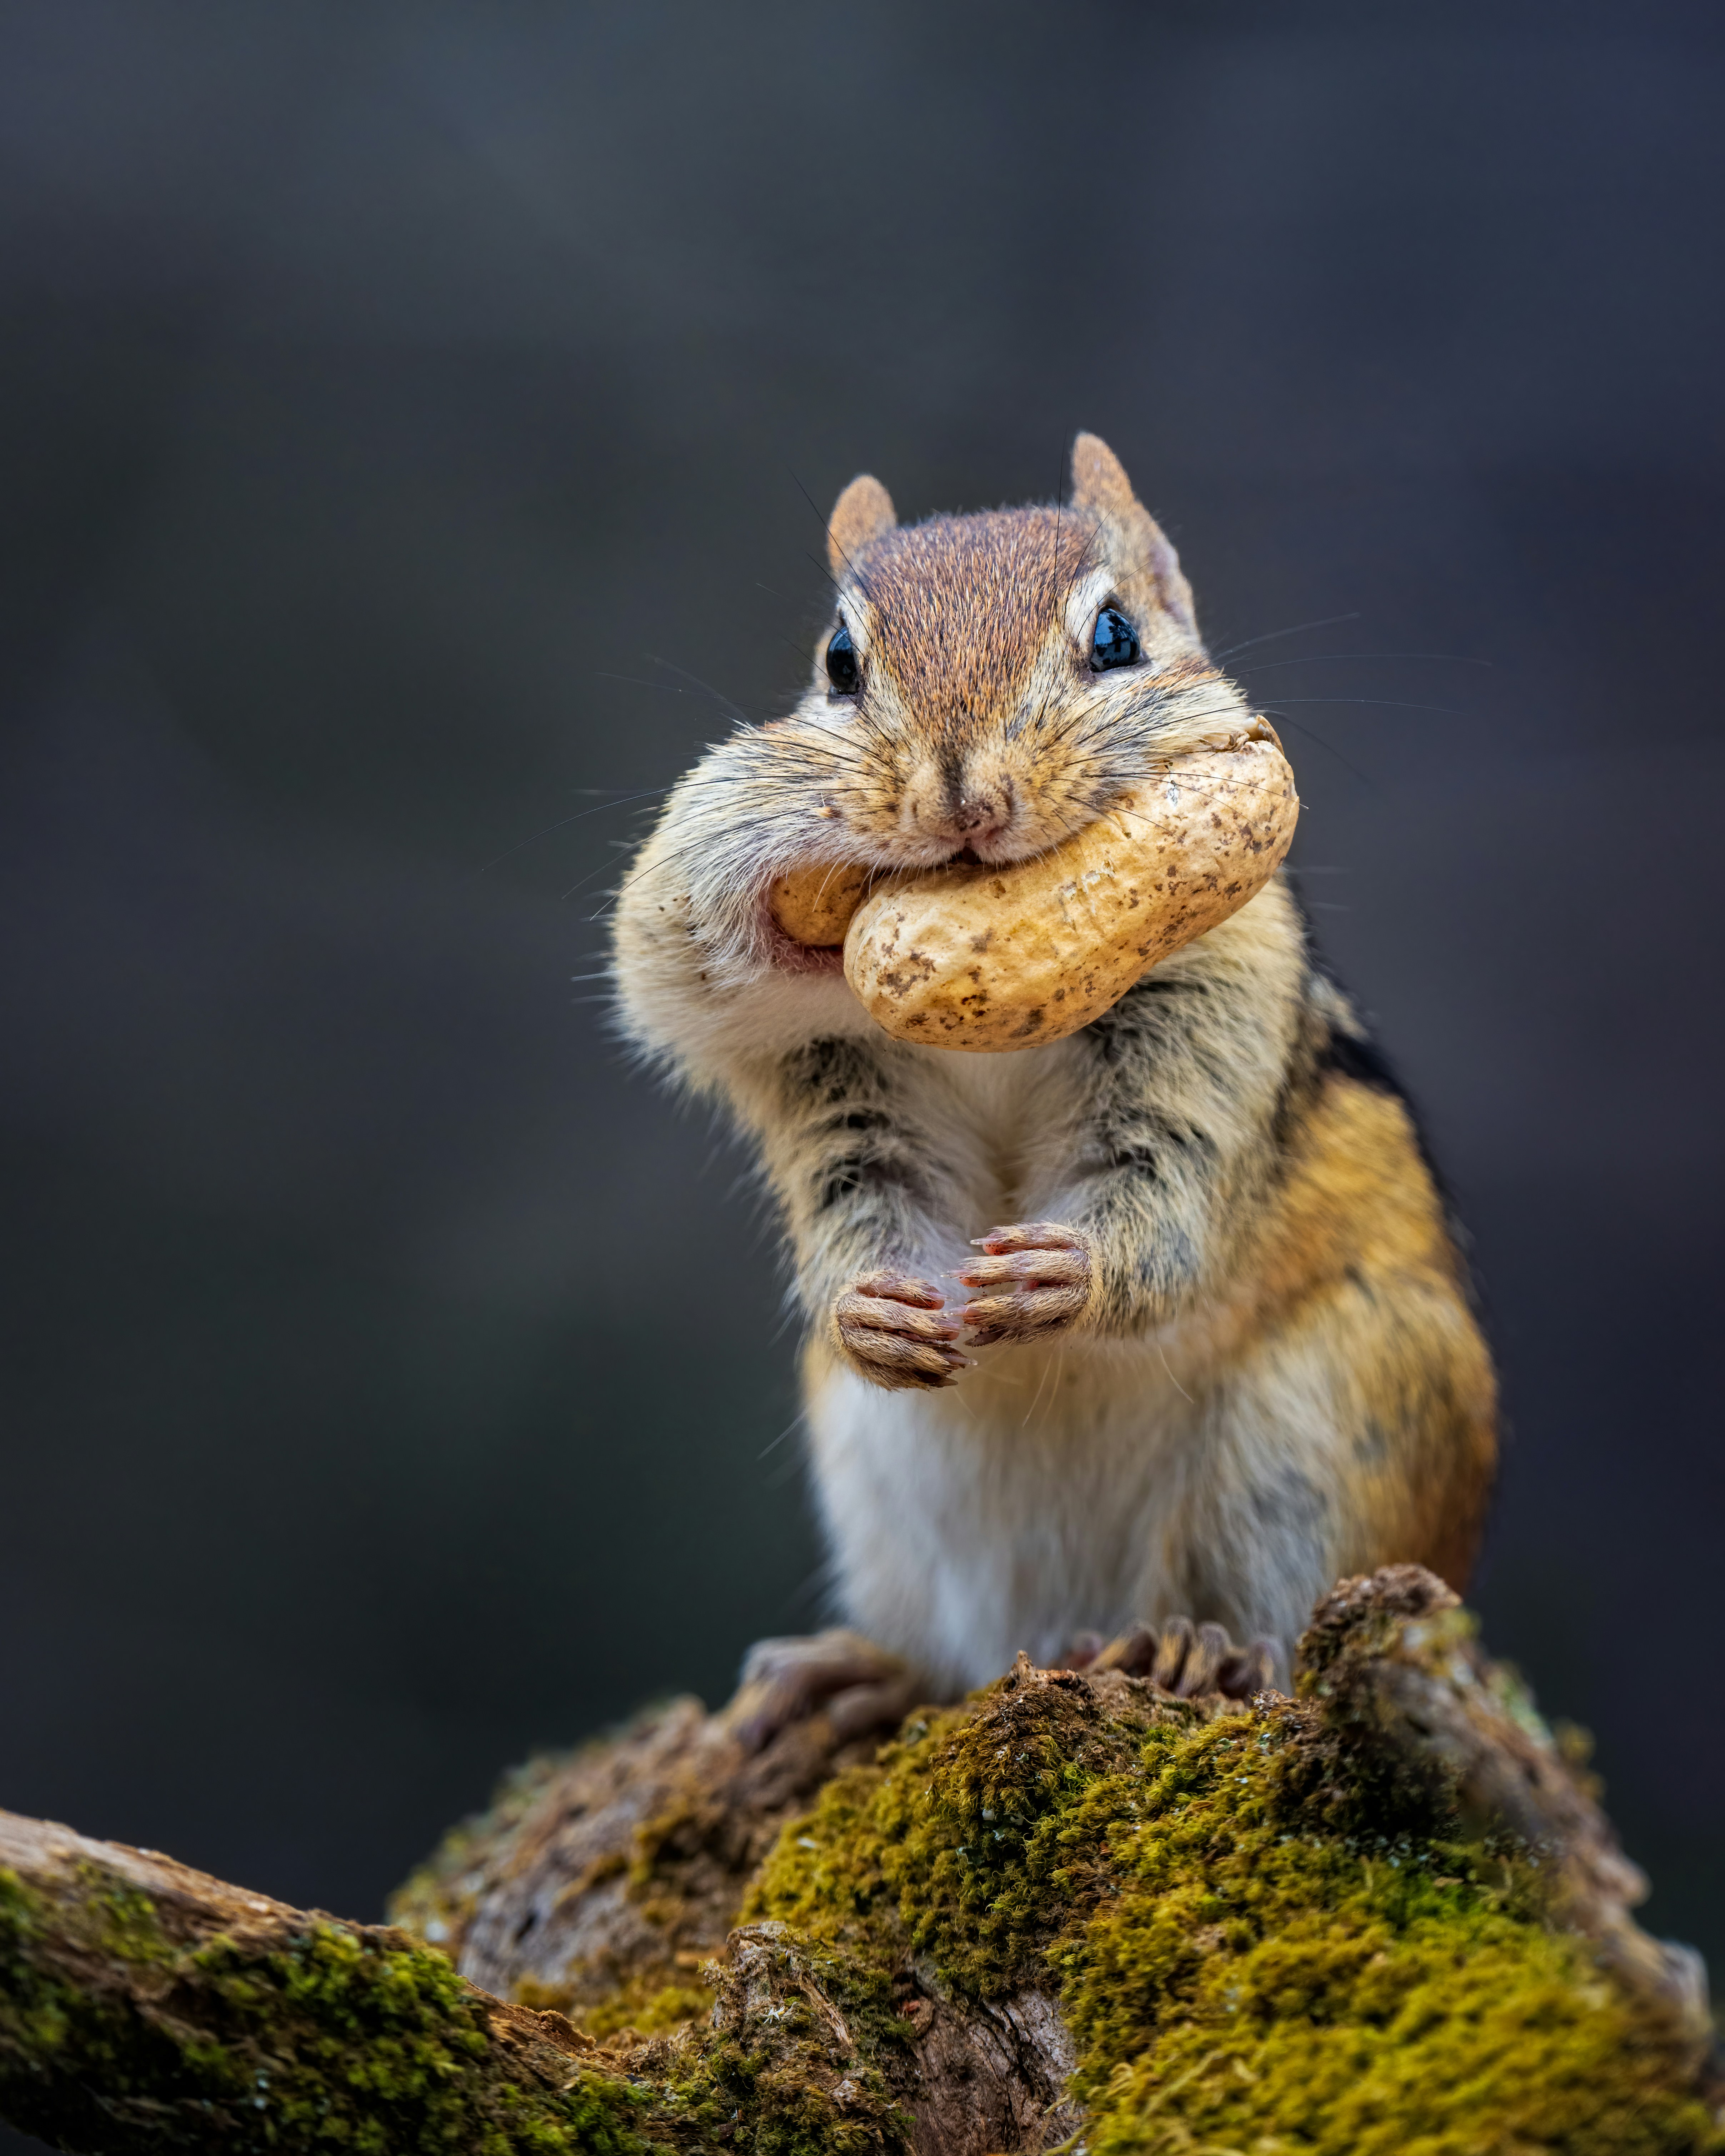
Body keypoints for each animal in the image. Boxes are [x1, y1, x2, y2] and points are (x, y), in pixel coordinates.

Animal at [612, 434, 1497, 1742]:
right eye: (838, 663)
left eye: (1118, 636)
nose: (963, 798)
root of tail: (1060, 1630)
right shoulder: (809, 1072)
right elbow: (822, 1153)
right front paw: (871, 1310)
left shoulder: (1216, 1002)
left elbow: (1167, 1203)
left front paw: (1061, 1274)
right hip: (879, 1476)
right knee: (950, 1653)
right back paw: (860, 1673)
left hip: (1324, 1431)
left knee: (1263, 1622)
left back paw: (1199, 1650)